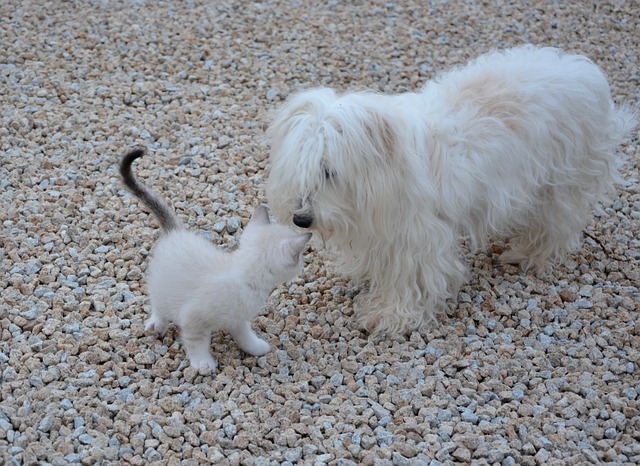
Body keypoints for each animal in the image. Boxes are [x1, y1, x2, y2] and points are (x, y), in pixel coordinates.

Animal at [120, 151, 312, 374]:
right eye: (300, 257)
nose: (303, 262)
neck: (243, 276)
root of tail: (176, 231)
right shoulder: (193, 318)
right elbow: (196, 342)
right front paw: (203, 363)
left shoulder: (238, 319)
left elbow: (245, 336)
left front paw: (256, 348)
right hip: (162, 285)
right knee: (158, 303)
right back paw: (157, 323)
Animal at [264, 45, 636, 334]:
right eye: (300, 170)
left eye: (330, 172)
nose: (300, 219)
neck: (390, 170)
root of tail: (583, 70)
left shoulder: (418, 238)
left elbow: (410, 280)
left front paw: (389, 315)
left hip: (560, 181)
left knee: (557, 223)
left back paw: (530, 255)